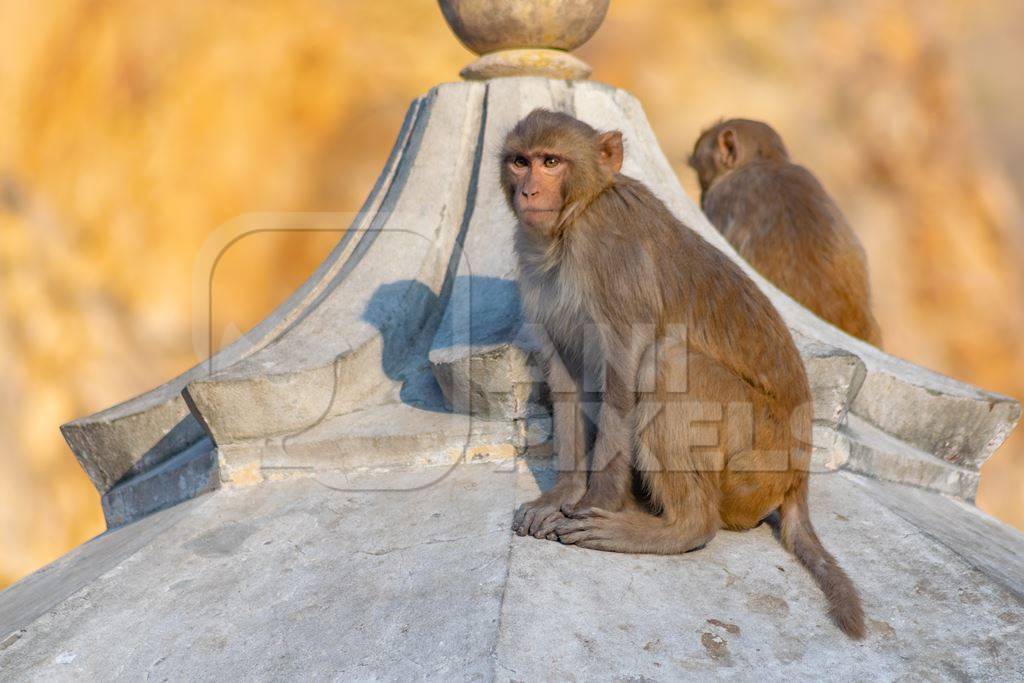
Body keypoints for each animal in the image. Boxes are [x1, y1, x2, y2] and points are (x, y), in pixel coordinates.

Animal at [503, 109, 864, 638]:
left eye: (551, 162)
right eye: (520, 161)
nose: (528, 192)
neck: (572, 221)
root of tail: (798, 475)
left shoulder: (612, 255)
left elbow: (625, 368)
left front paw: (597, 500)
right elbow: (568, 378)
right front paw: (561, 494)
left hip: (754, 462)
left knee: (667, 362)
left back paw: (677, 527)